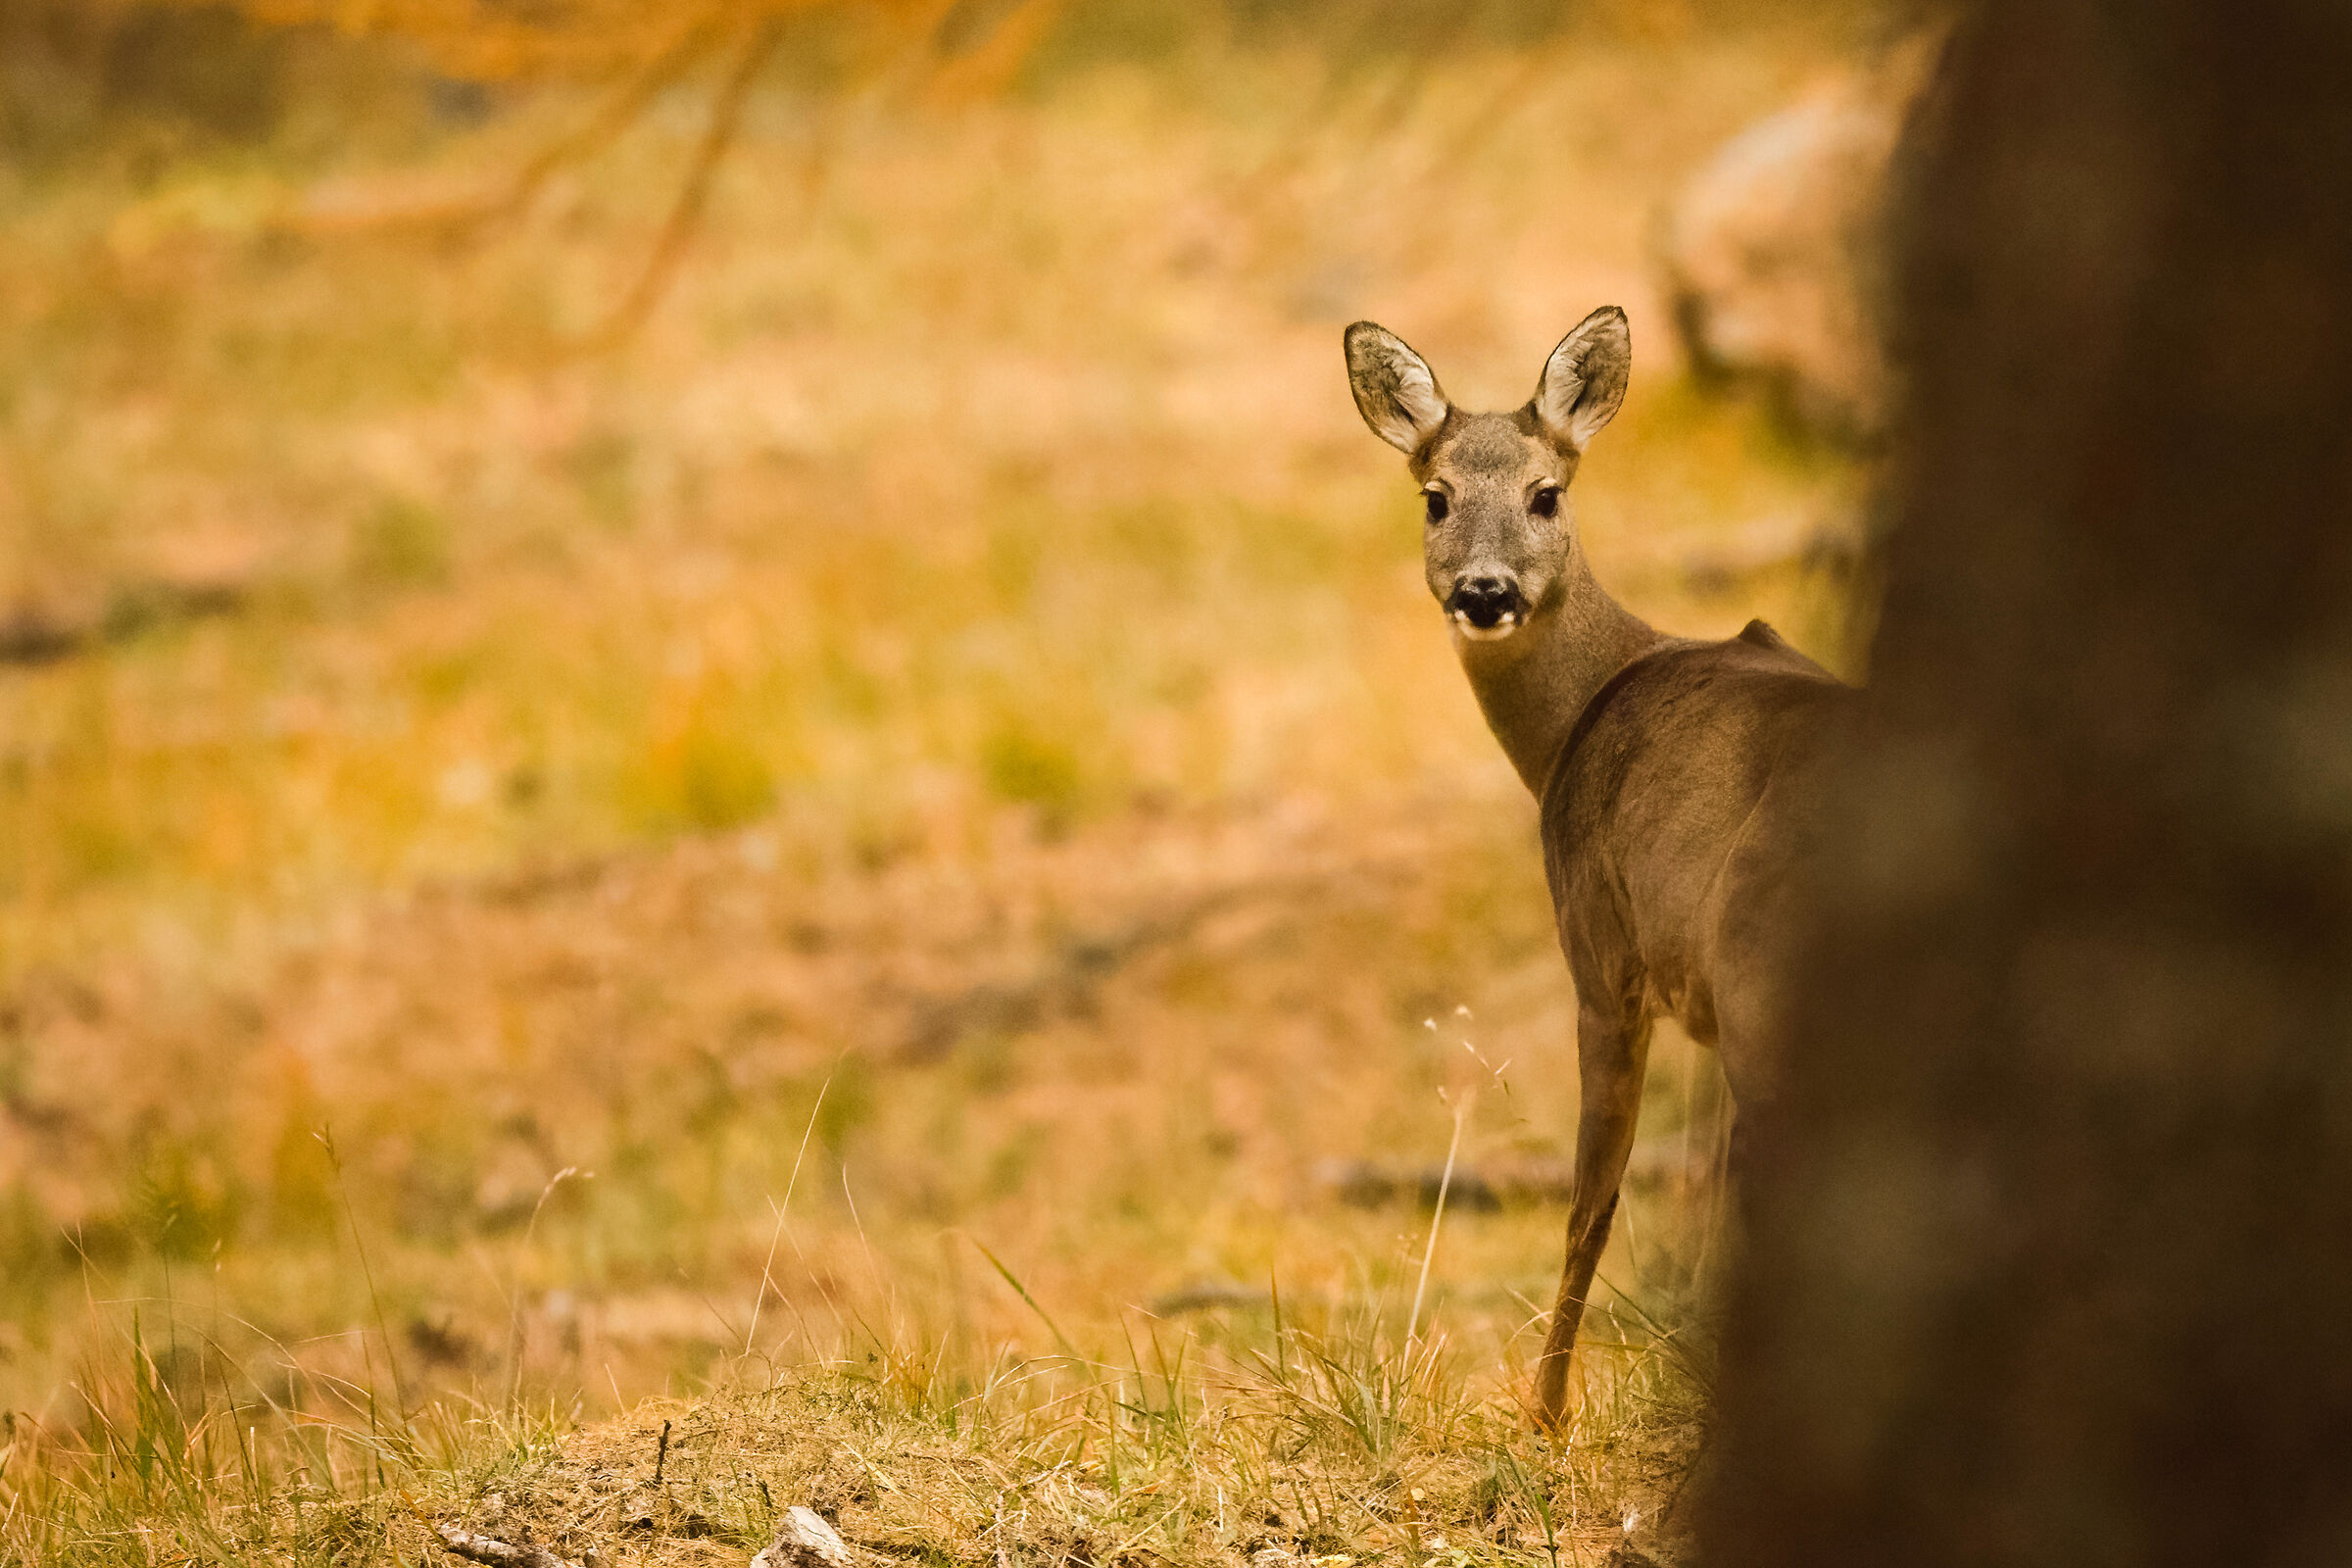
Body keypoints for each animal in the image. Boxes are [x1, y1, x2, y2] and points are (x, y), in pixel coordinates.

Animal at [1343, 306, 1852, 1430]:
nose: (1486, 592)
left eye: (1547, 493)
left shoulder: (1606, 955)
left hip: (1761, 966)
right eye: (1436, 497)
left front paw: (1544, 1411)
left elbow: (1592, 1203)